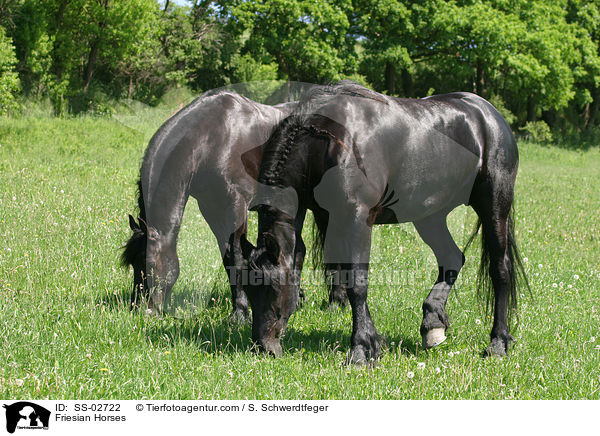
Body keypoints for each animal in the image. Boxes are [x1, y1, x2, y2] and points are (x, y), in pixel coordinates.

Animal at [120, 90, 304, 322]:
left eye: (150, 264)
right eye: (133, 264)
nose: (141, 309)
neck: (213, 139)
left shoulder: (236, 206)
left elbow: (237, 257)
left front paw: (240, 314)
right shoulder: (212, 209)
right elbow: (228, 258)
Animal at [246, 82, 528, 362]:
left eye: (271, 287)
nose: (263, 347)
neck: (328, 142)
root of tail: (489, 114)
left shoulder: (357, 218)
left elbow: (357, 282)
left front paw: (360, 349)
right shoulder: (327, 217)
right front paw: (371, 342)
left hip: (494, 206)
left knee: (500, 270)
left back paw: (498, 342)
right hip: (431, 216)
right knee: (452, 258)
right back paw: (432, 323)